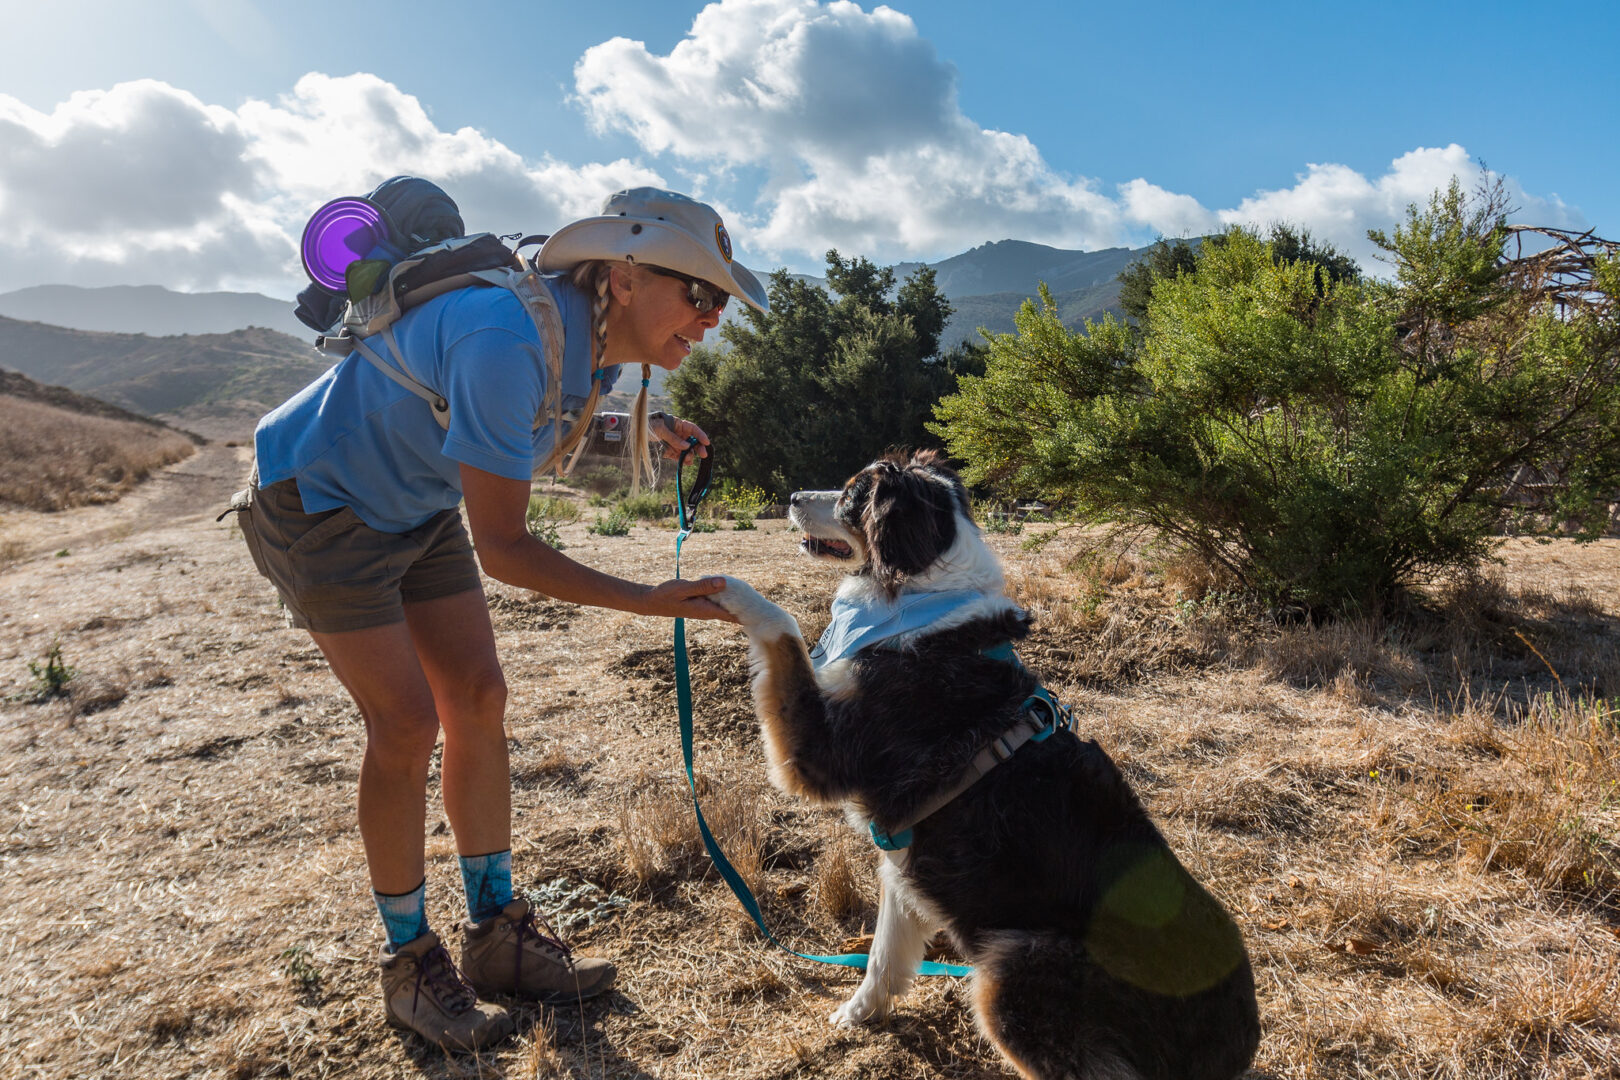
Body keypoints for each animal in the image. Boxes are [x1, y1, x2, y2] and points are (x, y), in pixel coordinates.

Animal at [716, 450, 1257, 1080]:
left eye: (851, 495)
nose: (794, 496)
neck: (923, 598)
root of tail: (1232, 1046)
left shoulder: (821, 754)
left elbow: (784, 628)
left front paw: (726, 590)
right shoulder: (906, 861)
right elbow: (884, 953)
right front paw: (859, 1013)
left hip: (1013, 967)